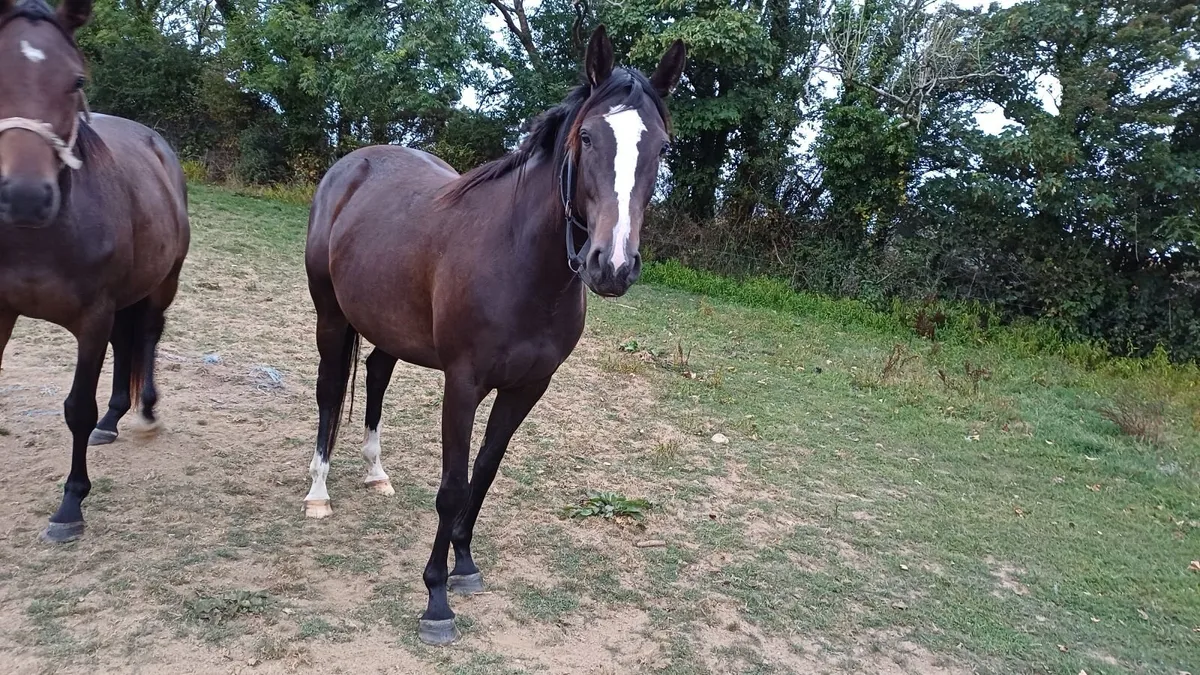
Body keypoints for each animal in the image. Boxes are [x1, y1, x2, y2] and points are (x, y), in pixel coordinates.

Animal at [0, 0, 190, 542]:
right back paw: (114, 416)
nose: (26, 196)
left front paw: (70, 506)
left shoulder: (91, 318)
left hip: (161, 284)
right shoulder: (0, 312)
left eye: (76, 80)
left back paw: (144, 410)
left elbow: (76, 408)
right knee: (125, 343)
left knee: (146, 336)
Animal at [303, 25, 685, 644]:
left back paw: (376, 473)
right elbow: (453, 486)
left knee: (377, 376)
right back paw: (318, 492)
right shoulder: (463, 384)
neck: (519, 263)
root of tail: (351, 166)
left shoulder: (528, 388)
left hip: (389, 326)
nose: (612, 265)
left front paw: (464, 564)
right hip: (331, 318)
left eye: (661, 148)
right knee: (330, 391)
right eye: (587, 137)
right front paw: (436, 600)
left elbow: (483, 474)